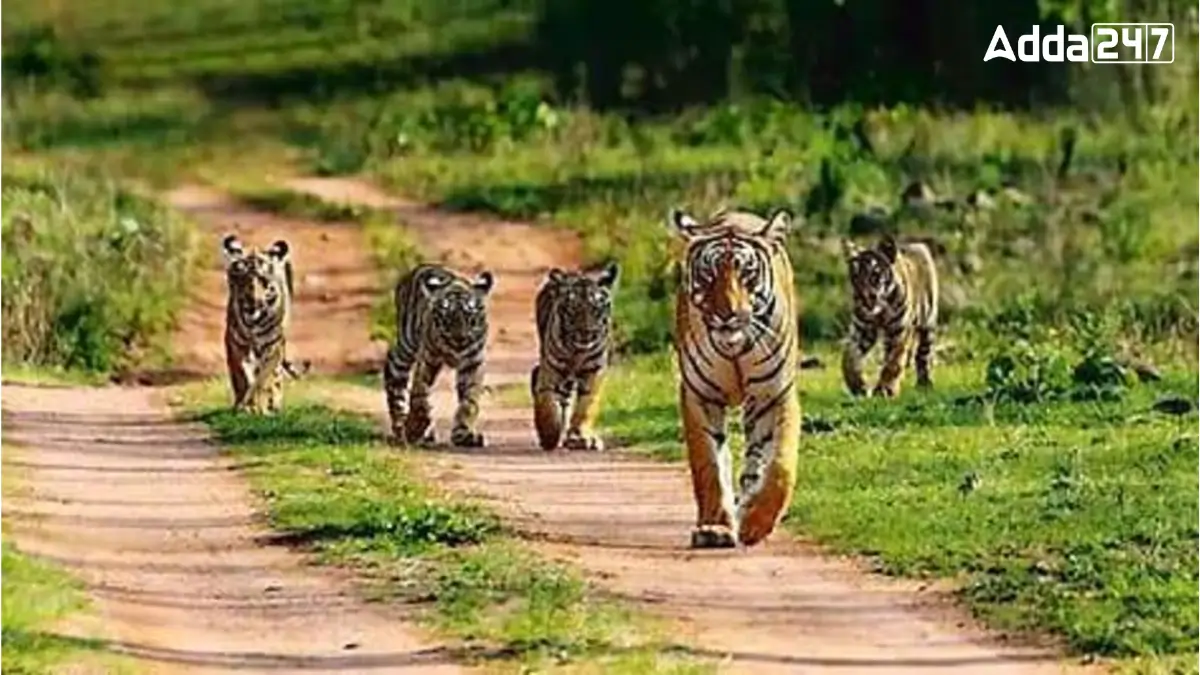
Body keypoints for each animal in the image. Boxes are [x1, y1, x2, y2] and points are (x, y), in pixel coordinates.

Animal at [222, 234, 297, 415]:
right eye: (241, 279)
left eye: (263, 280)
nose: (252, 302)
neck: (253, 323)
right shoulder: (236, 344)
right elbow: (243, 376)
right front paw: (245, 406)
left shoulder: (273, 346)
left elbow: (263, 378)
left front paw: (260, 408)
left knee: (275, 376)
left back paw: (273, 404)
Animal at [383, 263, 494, 448]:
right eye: (446, 316)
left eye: (469, 315)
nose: (459, 338)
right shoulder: (427, 358)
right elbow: (419, 394)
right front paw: (416, 426)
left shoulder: (472, 363)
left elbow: (469, 401)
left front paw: (463, 434)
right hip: (406, 345)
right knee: (394, 372)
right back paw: (401, 426)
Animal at [530, 262, 620, 452]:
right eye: (573, 309)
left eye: (596, 309)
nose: (586, 333)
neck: (577, 352)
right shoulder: (551, 370)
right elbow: (547, 404)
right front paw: (550, 437)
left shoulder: (594, 371)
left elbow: (586, 406)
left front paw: (579, 437)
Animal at [669, 206, 802, 549]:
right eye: (709, 274)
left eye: (747, 274)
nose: (727, 314)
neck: (735, 348)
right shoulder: (700, 395)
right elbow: (709, 465)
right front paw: (715, 528)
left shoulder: (774, 394)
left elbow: (780, 465)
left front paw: (756, 523)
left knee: (756, 461)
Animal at [840, 234, 939, 398]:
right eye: (854, 277)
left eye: (874, 275)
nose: (861, 298)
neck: (880, 312)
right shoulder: (862, 331)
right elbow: (849, 358)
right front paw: (858, 387)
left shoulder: (899, 331)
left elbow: (894, 362)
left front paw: (885, 390)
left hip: (928, 324)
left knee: (923, 355)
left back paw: (924, 384)